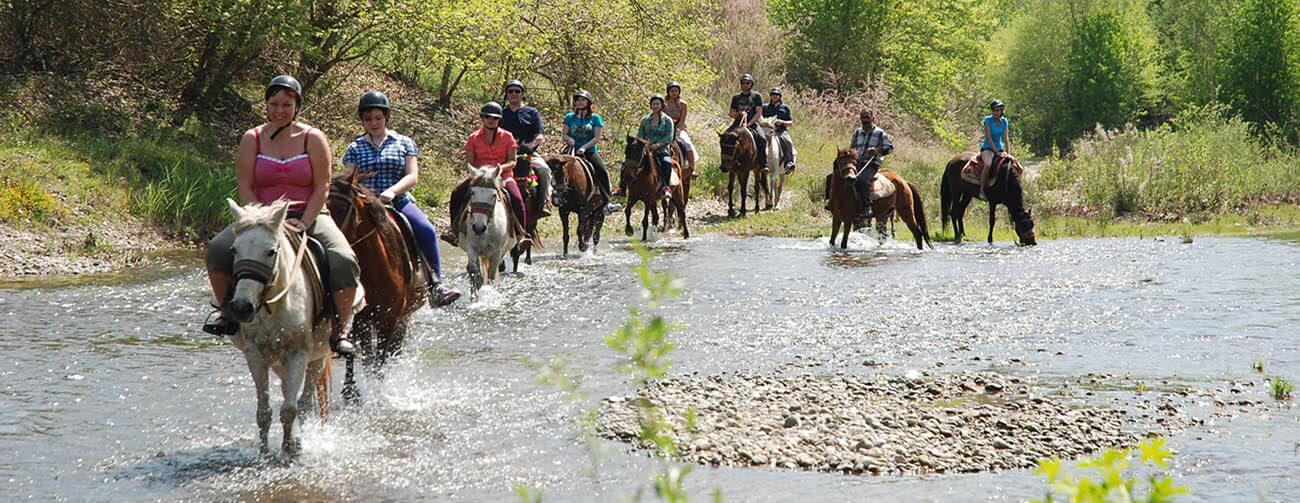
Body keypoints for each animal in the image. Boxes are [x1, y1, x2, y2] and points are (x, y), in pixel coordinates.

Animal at [223, 198, 364, 462]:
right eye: (234, 250)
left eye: (271, 251)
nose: (242, 307)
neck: (275, 305)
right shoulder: (255, 356)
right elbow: (263, 411)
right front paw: (265, 453)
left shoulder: (299, 354)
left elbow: (290, 409)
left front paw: (289, 450)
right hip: (280, 362)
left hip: (317, 357)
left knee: (306, 403)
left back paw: (302, 441)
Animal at [325, 171, 426, 402]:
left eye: (342, 209)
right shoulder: (360, 319)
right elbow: (363, 359)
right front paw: (350, 392)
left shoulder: (388, 319)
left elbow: (379, 360)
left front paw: (378, 393)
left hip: (404, 316)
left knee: (393, 352)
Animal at [457, 165, 517, 295]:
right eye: (472, 193)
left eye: (493, 195)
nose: (478, 227)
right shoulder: (472, 247)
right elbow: (474, 272)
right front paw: (475, 295)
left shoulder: (496, 252)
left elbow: (491, 275)